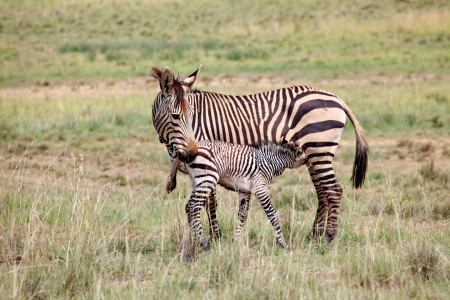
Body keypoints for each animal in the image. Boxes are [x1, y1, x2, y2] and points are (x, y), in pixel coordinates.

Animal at [152, 65, 370, 244]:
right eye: (176, 116)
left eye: (191, 116)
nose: (190, 154)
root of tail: (336, 97)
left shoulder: (209, 161)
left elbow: (210, 202)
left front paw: (215, 237)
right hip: (313, 156)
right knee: (322, 191)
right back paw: (313, 235)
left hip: (319, 149)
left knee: (333, 189)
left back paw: (328, 237)